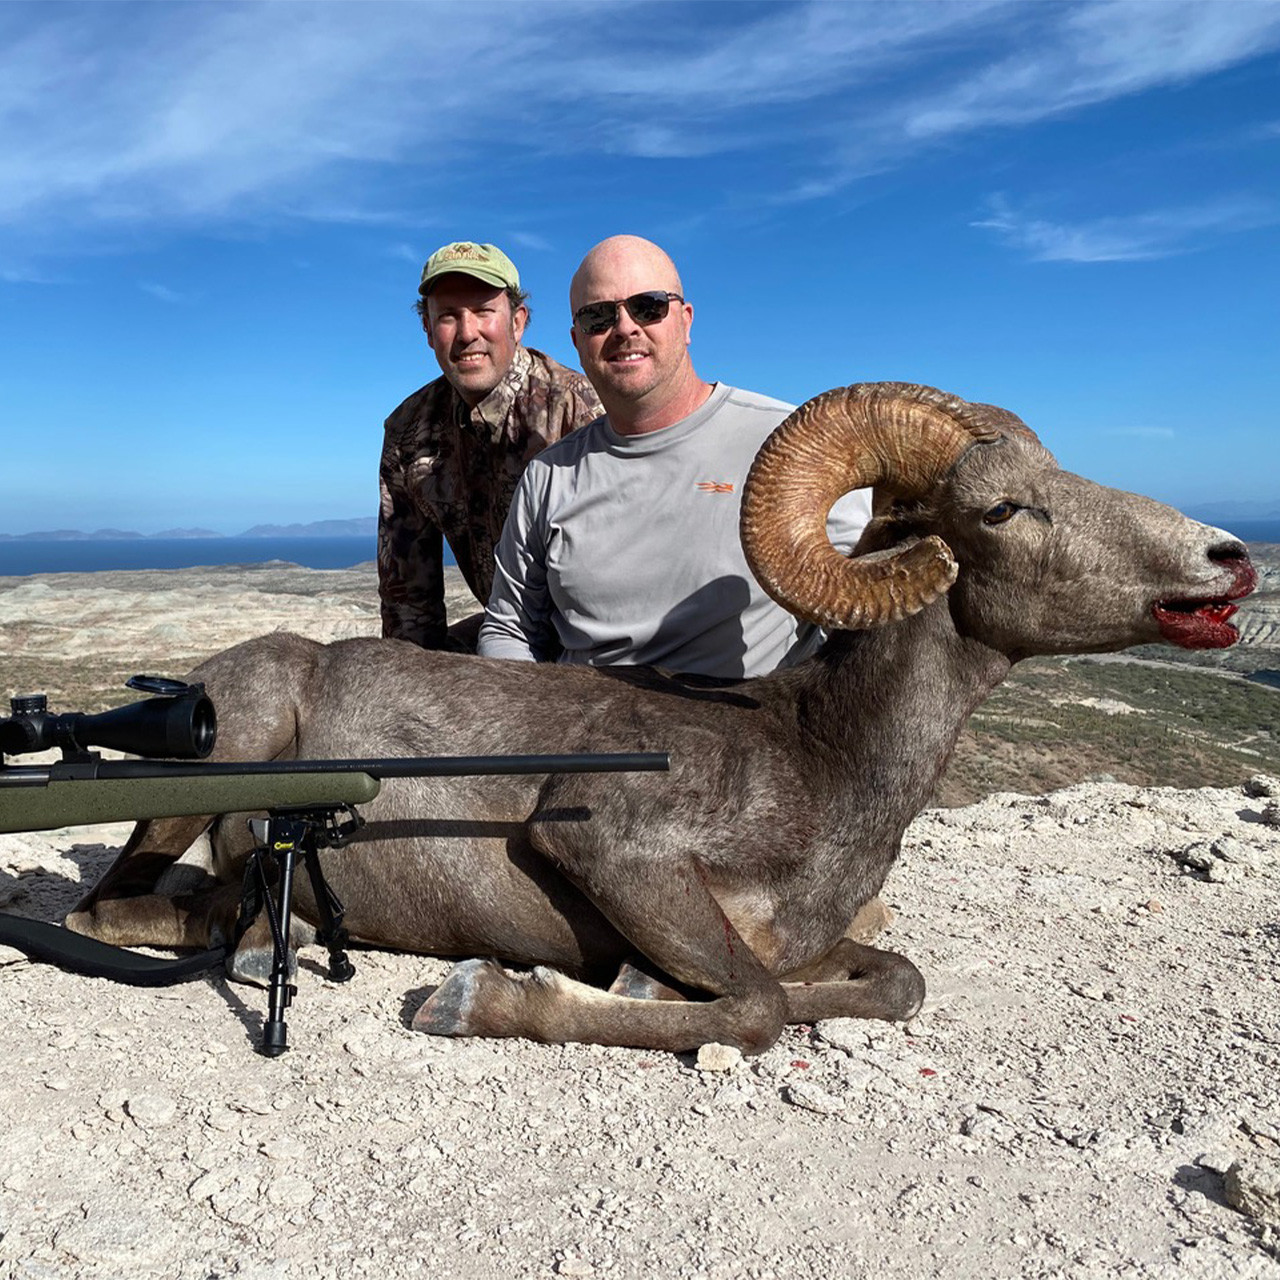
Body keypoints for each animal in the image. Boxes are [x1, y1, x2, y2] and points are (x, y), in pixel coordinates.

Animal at [64, 384, 1254, 1054]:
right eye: (1004, 507)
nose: (1231, 558)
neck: (818, 762)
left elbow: (891, 981)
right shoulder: (610, 851)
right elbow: (759, 1007)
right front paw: (475, 1000)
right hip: (228, 741)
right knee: (106, 912)